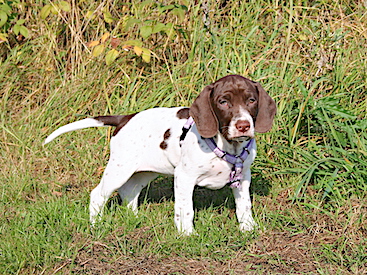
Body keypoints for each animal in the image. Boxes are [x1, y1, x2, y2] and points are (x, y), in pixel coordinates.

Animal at [44, 75, 276, 235]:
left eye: (251, 100)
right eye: (223, 102)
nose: (243, 125)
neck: (228, 145)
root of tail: (125, 118)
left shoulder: (242, 177)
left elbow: (244, 206)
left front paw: (248, 228)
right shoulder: (184, 178)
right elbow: (186, 209)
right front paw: (187, 234)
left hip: (145, 171)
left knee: (129, 191)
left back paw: (135, 220)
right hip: (120, 168)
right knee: (98, 194)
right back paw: (96, 225)